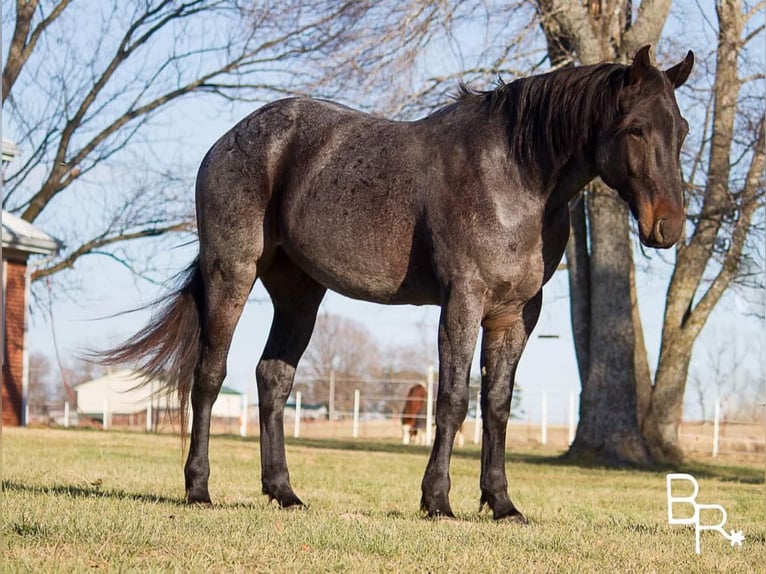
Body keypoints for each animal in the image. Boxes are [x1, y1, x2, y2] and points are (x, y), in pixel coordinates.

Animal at [102, 47, 696, 524]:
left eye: (683, 129)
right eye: (637, 128)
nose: (668, 228)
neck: (516, 176)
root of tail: (227, 142)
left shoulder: (515, 314)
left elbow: (498, 405)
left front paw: (501, 503)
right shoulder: (463, 300)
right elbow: (454, 398)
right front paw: (438, 500)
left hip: (299, 294)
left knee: (273, 379)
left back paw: (284, 493)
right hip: (232, 272)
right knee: (208, 375)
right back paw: (198, 489)